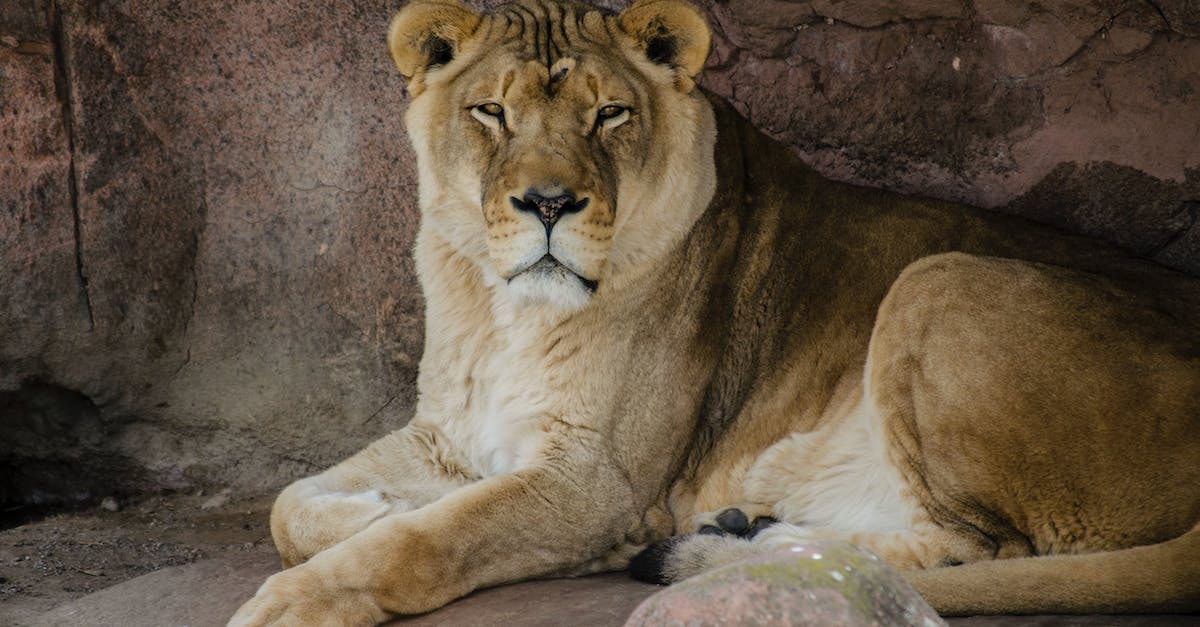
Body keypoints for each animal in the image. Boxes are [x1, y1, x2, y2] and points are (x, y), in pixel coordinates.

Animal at [230, 0, 1200, 624]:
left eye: (610, 114)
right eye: (492, 111)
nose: (548, 203)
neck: (504, 308)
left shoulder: (596, 484)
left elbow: (432, 539)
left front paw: (299, 598)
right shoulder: (451, 433)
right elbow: (291, 502)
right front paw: (369, 510)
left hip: (938, 280)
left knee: (987, 555)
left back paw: (724, 545)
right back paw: (742, 530)